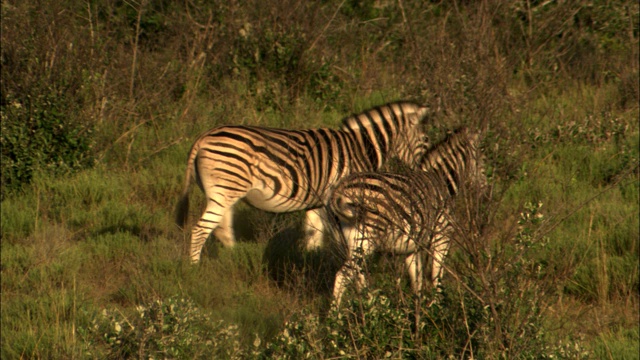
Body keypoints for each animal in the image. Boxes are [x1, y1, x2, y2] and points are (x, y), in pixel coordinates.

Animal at [175, 101, 432, 262]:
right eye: (426, 139)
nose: (425, 173)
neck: (360, 148)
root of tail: (203, 136)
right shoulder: (339, 201)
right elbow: (336, 238)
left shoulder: (317, 203)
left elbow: (313, 236)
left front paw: (309, 263)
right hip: (225, 190)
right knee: (201, 230)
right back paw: (194, 268)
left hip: (224, 193)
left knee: (222, 229)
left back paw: (236, 260)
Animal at [324, 126, 484, 306]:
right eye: (482, 156)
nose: (484, 189)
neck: (442, 180)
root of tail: (339, 193)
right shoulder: (442, 236)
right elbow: (437, 275)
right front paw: (437, 306)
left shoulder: (412, 247)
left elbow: (417, 280)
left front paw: (419, 308)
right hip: (366, 237)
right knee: (343, 275)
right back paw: (336, 313)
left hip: (349, 240)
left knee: (358, 275)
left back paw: (373, 305)